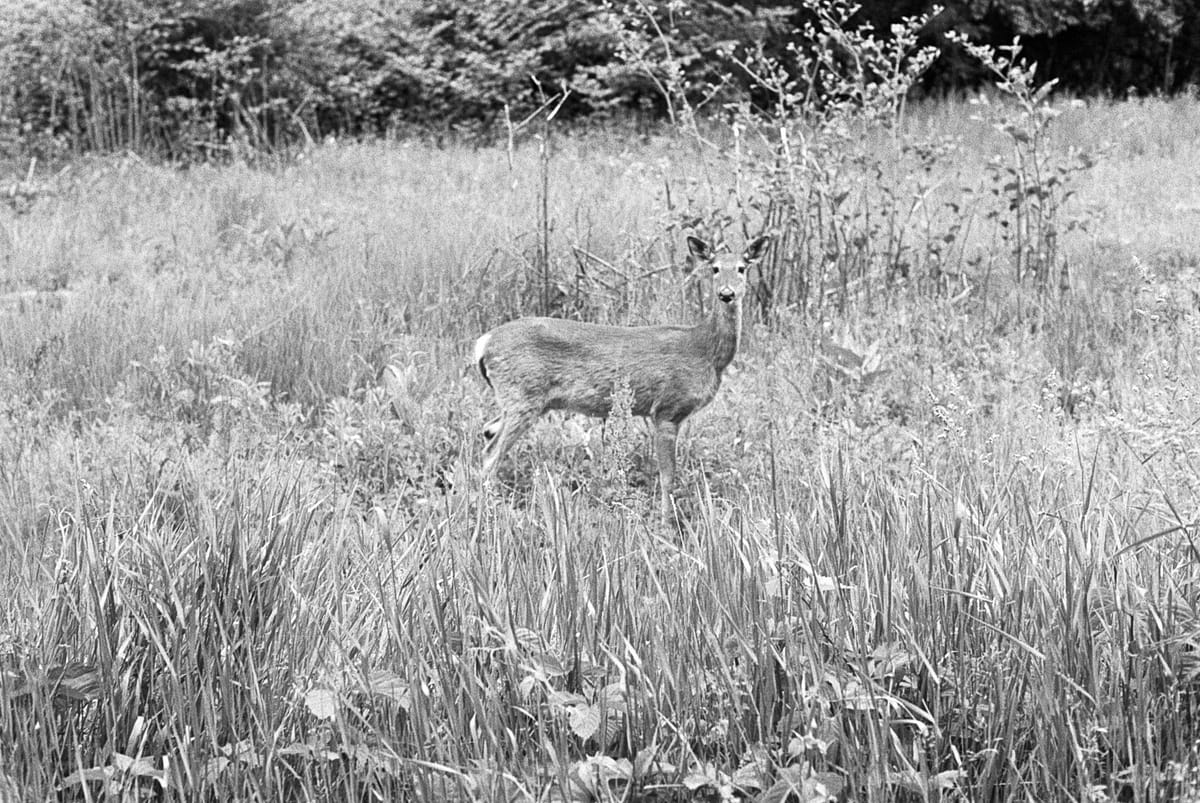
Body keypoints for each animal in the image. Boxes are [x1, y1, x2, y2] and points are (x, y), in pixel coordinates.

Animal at [470, 235, 768, 516]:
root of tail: (484, 343)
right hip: (522, 395)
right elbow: (667, 478)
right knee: (490, 455)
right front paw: (667, 524)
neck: (705, 351)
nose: (726, 294)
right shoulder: (667, 409)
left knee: (487, 430)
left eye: (742, 268)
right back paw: (489, 511)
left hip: (525, 401)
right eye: (714, 268)